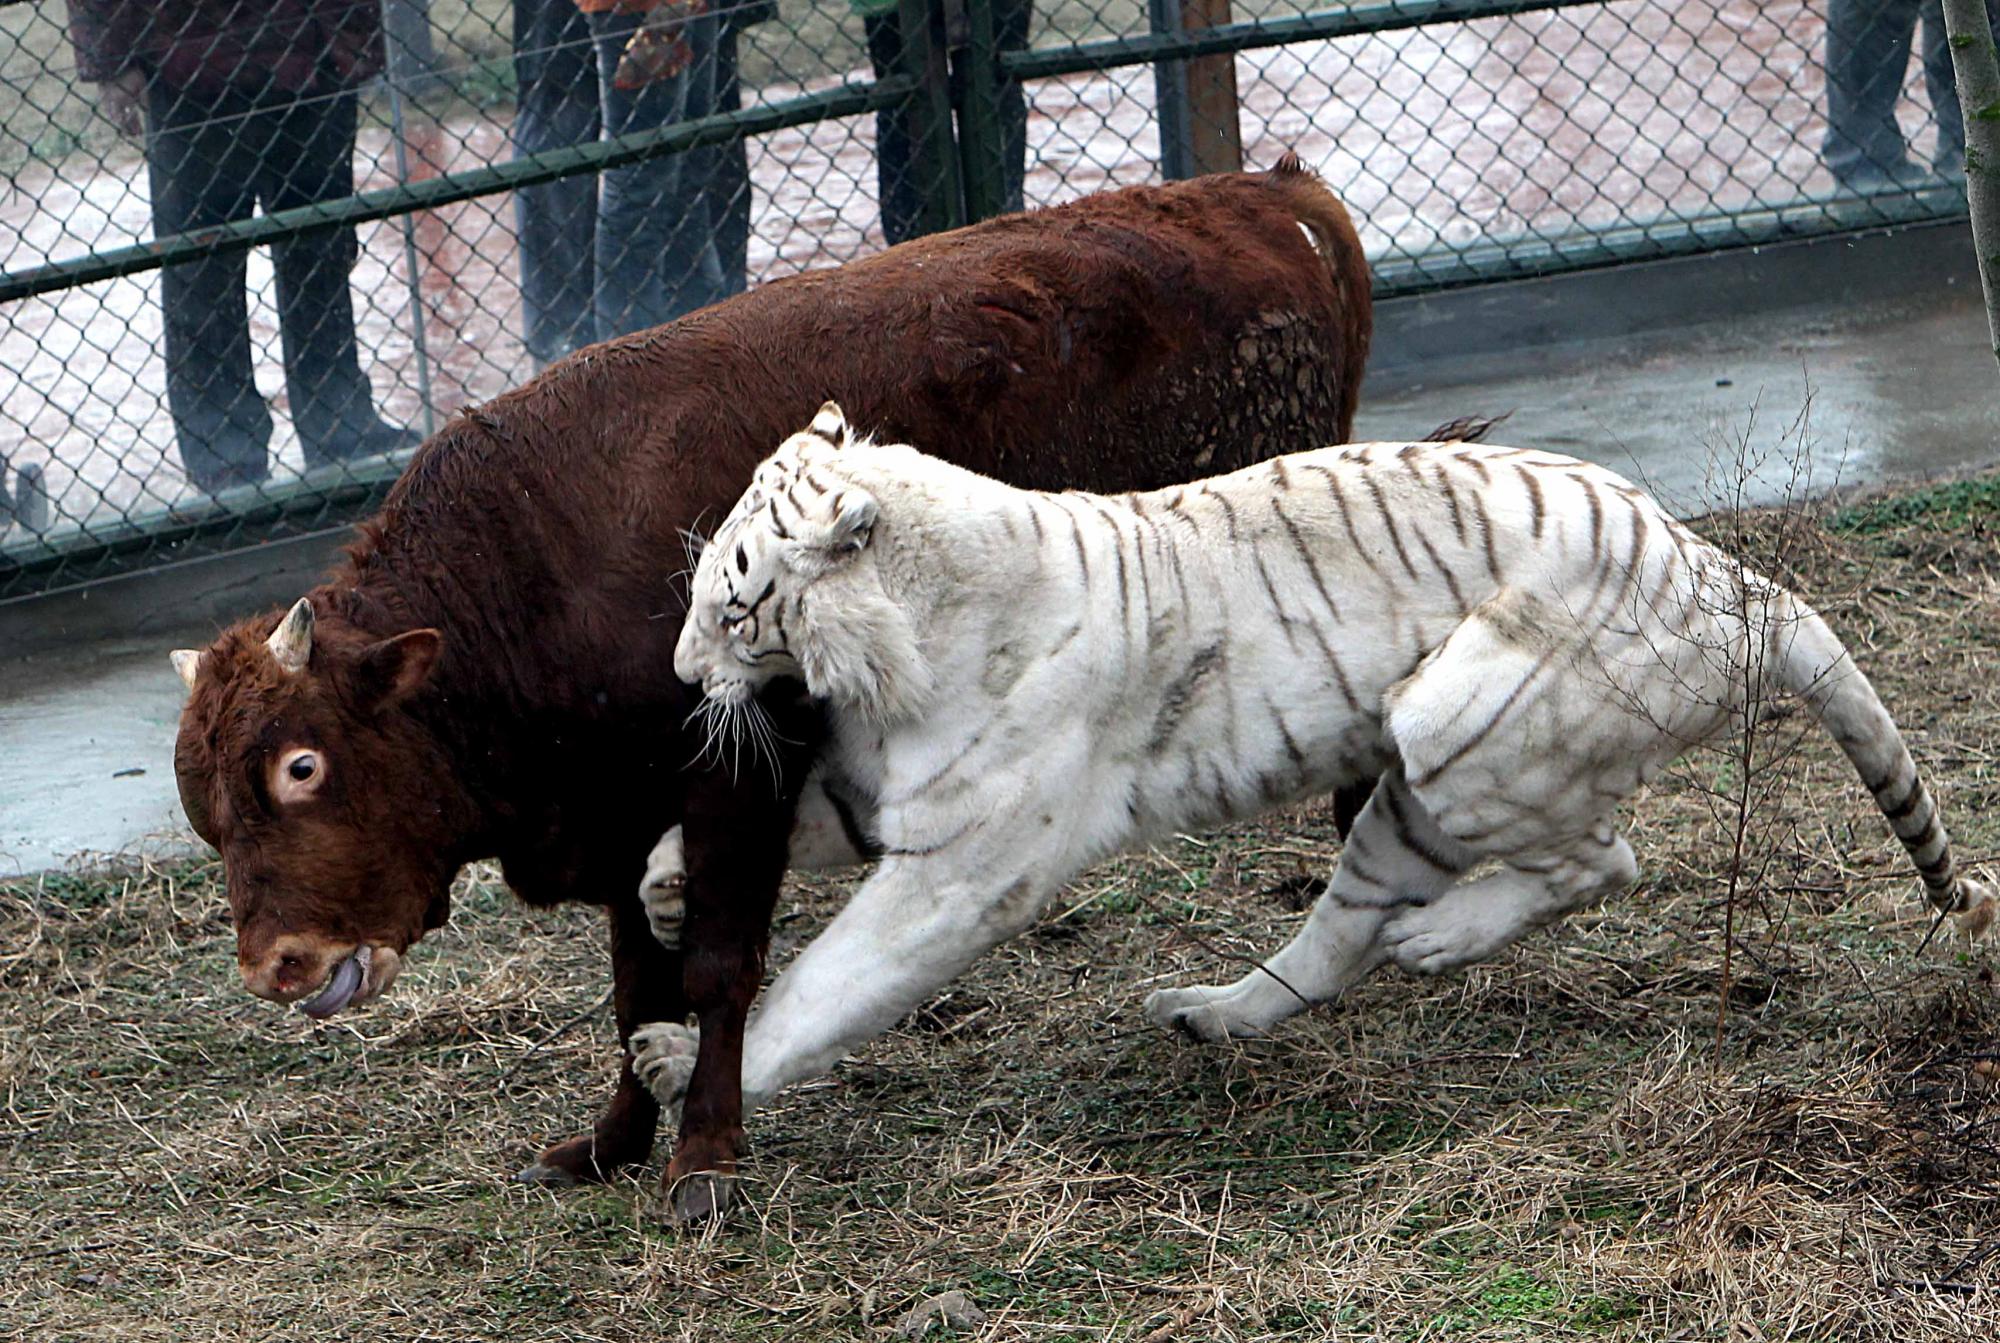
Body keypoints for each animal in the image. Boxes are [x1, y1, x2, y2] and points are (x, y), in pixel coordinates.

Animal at [168, 161, 1374, 1220]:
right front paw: (609, 1142)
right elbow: (637, 986)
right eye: (205, 810)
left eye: (304, 763)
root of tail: (1268, 193)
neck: (535, 561)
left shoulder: (734, 777)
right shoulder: (627, 810)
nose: (276, 965)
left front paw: (704, 1154)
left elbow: (714, 969)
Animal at [631, 400, 1993, 1117]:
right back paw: (1210, 1013)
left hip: (1459, 726)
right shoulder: (874, 788)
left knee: (1603, 857)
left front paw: (698, 1070)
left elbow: (828, 981)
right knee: (1336, 936)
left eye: (731, 607)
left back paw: (1436, 942)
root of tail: (1729, 577)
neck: (899, 644)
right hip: (1404, 801)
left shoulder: (962, 861)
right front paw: (663, 884)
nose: (685, 678)